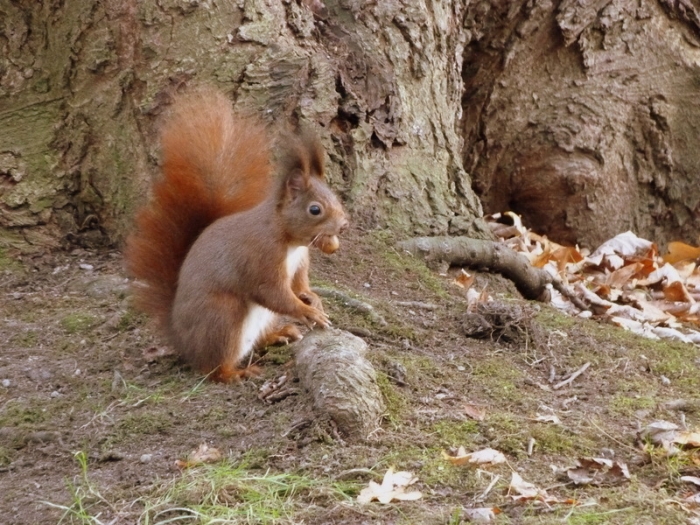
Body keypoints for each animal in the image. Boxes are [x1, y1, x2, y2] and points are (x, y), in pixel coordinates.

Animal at [125, 87, 348, 382]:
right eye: (315, 209)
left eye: (335, 196)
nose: (344, 225)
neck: (289, 240)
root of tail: (182, 341)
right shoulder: (260, 257)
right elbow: (273, 293)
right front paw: (308, 312)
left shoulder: (300, 261)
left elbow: (299, 285)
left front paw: (312, 298)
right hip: (223, 317)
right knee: (213, 369)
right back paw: (238, 373)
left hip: (261, 318)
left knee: (256, 341)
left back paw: (279, 334)